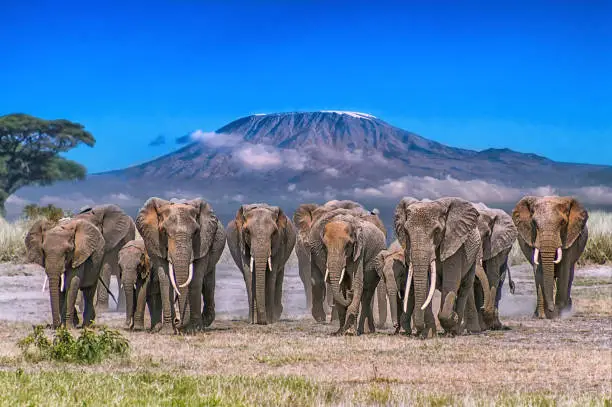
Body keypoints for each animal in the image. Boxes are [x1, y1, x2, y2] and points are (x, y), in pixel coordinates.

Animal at [135, 198, 226, 334]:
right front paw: (168, 331)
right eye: (164, 232)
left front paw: (194, 330)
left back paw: (204, 322)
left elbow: (196, 279)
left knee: (208, 282)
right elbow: (165, 279)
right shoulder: (154, 242)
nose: (177, 321)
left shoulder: (203, 241)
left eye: (196, 232)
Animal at [392, 198, 482, 338]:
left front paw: (453, 319)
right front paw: (429, 334)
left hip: (474, 257)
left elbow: (451, 281)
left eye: (436, 231)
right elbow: (427, 284)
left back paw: (455, 330)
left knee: (465, 287)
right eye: (406, 232)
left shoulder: (454, 243)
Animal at [466, 203, 520, 332]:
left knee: (499, 281)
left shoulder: (496, 243)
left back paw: (495, 325)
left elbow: (492, 275)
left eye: (487, 234)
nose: (483, 308)